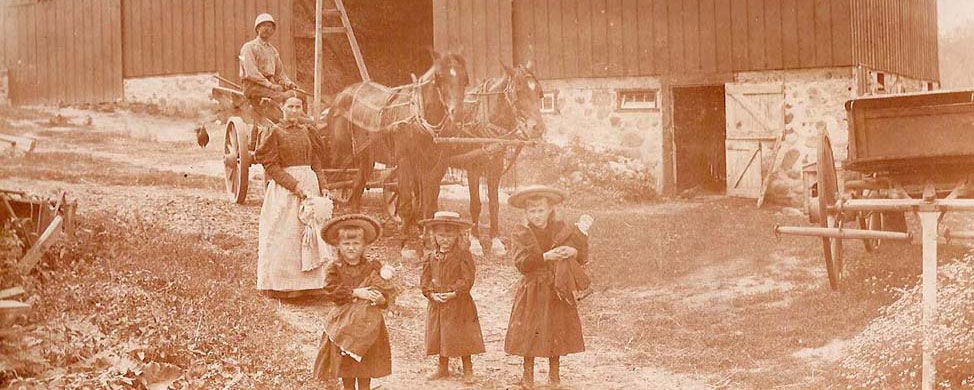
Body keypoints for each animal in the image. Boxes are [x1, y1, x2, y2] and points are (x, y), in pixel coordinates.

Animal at [326, 50, 470, 236]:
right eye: (439, 77)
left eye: (465, 79)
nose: (457, 114)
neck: (419, 118)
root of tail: (341, 94)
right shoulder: (404, 160)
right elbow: (407, 197)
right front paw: (405, 231)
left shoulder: (436, 164)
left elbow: (429, 200)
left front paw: (426, 230)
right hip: (341, 153)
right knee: (330, 181)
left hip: (365, 155)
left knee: (358, 184)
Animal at [450, 61, 548, 253]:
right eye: (518, 91)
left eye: (539, 92)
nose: (538, 128)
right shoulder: (473, 167)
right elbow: (476, 204)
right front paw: (475, 241)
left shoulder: (495, 166)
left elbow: (494, 204)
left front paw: (495, 241)